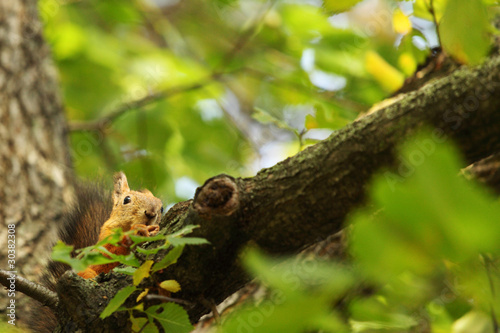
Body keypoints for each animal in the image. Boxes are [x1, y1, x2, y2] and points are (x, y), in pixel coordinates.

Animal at [28, 171, 164, 332]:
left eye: (162, 208)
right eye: (127, 199)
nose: (151, 213)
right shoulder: (103, 244)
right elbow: (109, 253)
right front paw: (137, 232)